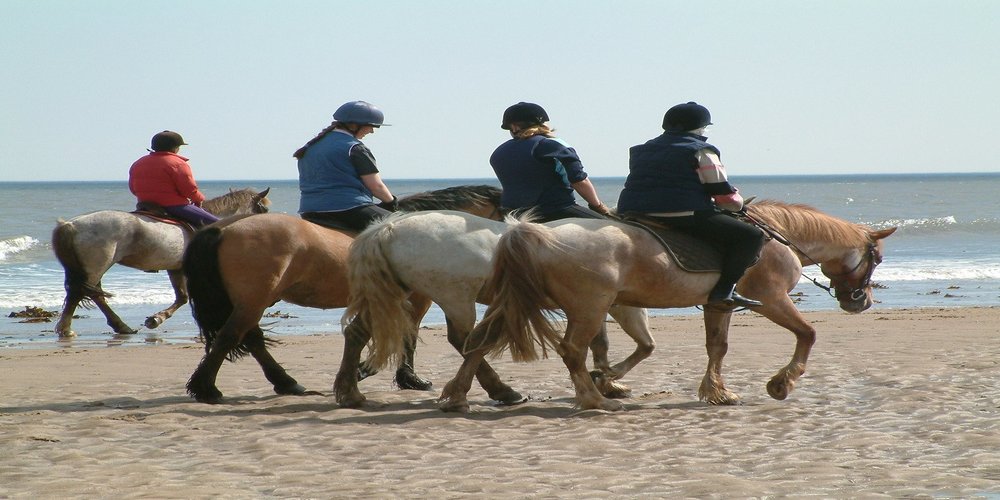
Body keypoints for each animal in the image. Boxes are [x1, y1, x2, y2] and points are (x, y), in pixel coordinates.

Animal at [50, 187, 270, 336]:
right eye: (264, 210)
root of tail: (71, 225)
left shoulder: (175, 268)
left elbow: (182, 297)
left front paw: (155, 319)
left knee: (94, 295)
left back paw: (121, 326)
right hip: (96, 267)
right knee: (80, 294)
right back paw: (67, 329)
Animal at [182, 184, 508, 402]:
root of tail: (224, 229)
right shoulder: (417, 299)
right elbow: (410, 336)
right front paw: (403, 377)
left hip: (250, 301)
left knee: (250, 338)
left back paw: (284, 382)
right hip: (253, 300)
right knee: (232, 336)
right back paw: (206, 388)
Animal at [440, 201, 900, 412]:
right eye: (877, 258)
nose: (861, 302)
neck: (777, 235)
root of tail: (532, 232)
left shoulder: (719, 305)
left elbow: (717, 347)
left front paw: (717, 392)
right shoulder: (771, 300)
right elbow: (808, 333)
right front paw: (781, 383)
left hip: (517, 303)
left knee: (479, 341)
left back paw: (457, 396)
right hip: (589, 307)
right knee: (571, 350)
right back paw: (596, 400)